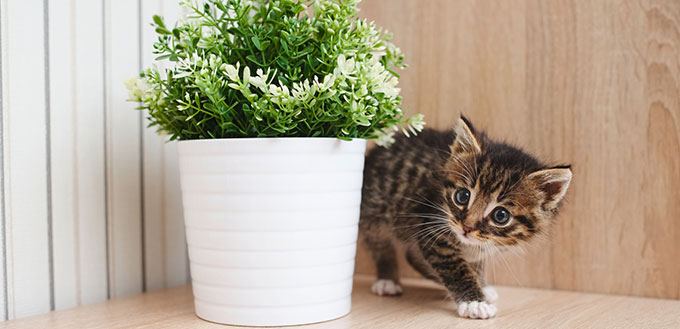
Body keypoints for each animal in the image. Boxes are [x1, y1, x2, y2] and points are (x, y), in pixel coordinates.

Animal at [358, 115, 572, 318]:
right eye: (462, 196)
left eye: (501, 215)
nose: (467, 227)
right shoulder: (433, 231)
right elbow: (456, 268)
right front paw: (475, 302)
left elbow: (474, 264)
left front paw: (481, 286)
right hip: (374, 213)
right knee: (381, 246)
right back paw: (387, 280)